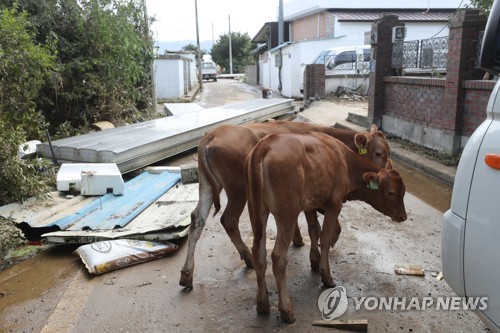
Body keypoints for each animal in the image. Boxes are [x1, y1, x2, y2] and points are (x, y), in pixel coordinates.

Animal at [180, 120, 390, 286]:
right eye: (379, 153)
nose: (385, 172)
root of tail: (213, 134)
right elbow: (316, 226)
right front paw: (322, 247)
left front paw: (300, 239)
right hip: (237, 189)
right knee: (229, 220)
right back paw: (248, 258)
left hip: (207, 186)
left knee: (197, 220)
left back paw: (187, 274)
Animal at [245, 132, 406, 322]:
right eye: (390, 192)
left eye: (403, 191)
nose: (403, 216)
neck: (344, 159)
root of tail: (265, 144)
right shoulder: (334, 204)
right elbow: (326, 237)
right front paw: (326, 275)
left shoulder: (310, 204)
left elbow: (314, 230)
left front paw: (314, 260)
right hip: (287, 213)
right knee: (278, 257)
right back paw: (286, 310)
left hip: (256, 212)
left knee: (258, 253)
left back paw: (262, 303)